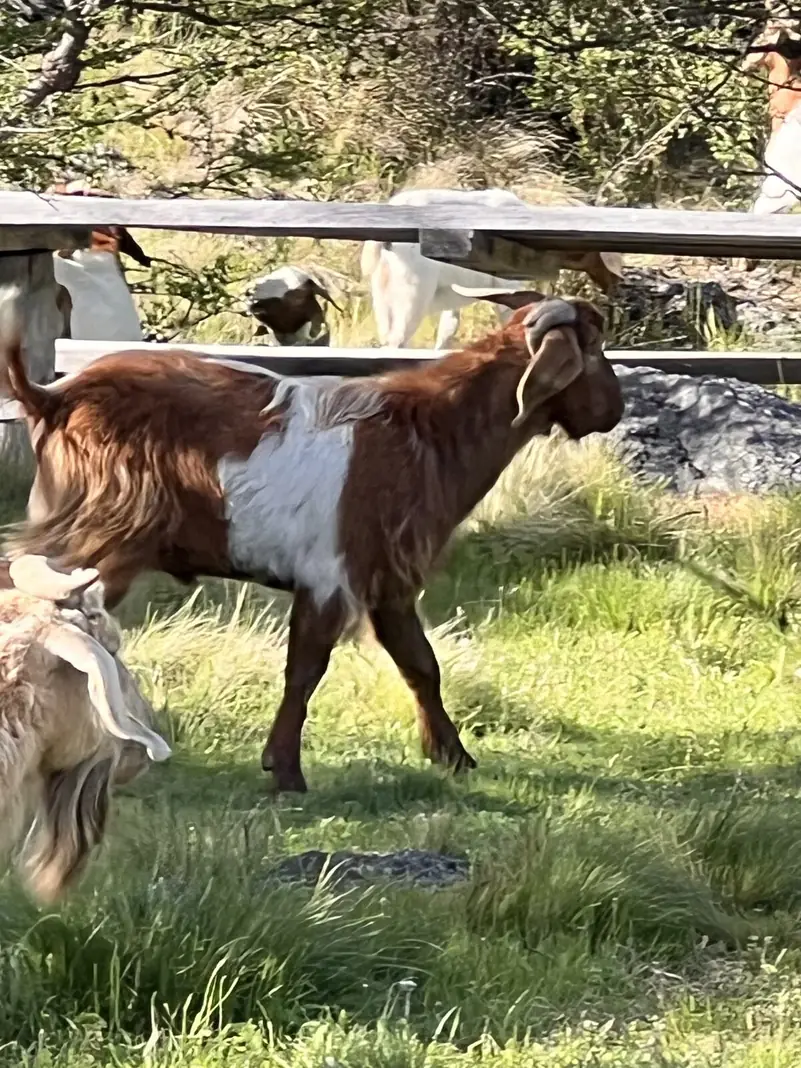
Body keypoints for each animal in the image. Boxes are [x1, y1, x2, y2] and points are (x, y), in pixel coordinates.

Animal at [0, 283, 623, 793]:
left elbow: (420, 664)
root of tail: (52, 398)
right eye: (594, 349)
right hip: (94, 544)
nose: (614, 411)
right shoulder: (332, 575)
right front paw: (287, 772)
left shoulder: (385, 579)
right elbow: (306, 670)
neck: (427, 430)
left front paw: (453, 757)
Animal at [360, 188, 624, 348]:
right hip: (413, 290)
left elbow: (447, 332)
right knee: (397, 341)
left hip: (382, 292)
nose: (616, 285)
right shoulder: (508, 283)